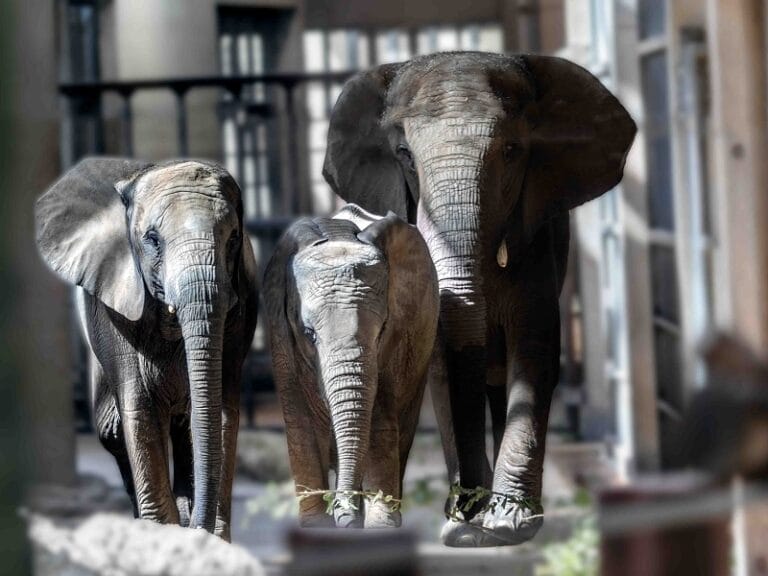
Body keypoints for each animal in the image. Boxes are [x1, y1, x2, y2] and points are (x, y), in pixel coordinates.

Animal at [35, 158, 258, 540]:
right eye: (152, 240)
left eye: (233, 239)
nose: (199, 529)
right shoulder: (115, 308)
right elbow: (140, 411)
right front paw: (165, 535)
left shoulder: (239, 309)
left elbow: (221, 411)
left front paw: (210, 539)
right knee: (110, 429)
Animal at [263, 204, 439, 528]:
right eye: (309, 333)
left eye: (381, 330)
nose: (340, 512)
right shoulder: (280, 334)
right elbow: (300, 427)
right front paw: (319, 526)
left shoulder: (395, 340)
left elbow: (379, 421)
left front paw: (379, 525)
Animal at [323, 52, 636, 546]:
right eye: (405, 156)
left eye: (511, 151)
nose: (469, 513)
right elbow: (439, 363)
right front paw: (462, 529)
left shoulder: (536, 245)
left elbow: (535, 350)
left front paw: (507, 526)